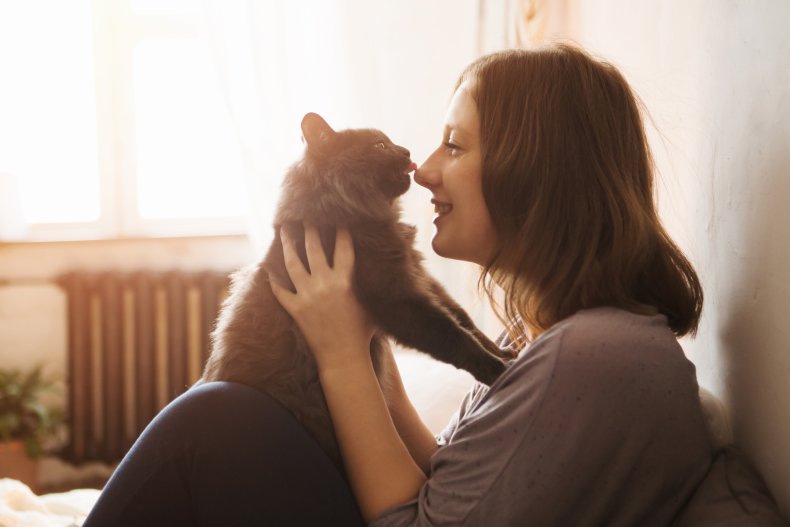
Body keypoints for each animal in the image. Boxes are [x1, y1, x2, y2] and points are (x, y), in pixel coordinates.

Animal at [203, 111, 512, 470]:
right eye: (379, 145)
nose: (406, 152)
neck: (352, 217)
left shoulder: (419, 277)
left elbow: (465, 321)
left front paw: (503, 351)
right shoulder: (398, 297)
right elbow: (453, 336)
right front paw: (497, 370)